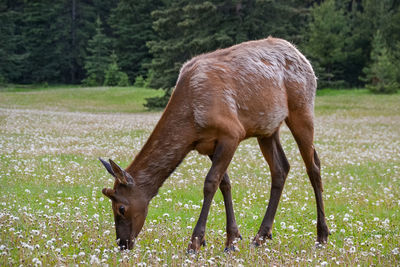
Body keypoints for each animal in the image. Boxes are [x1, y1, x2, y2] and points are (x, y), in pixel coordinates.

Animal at [101, 36, 330, 252]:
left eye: (121, 208)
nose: (123, 243)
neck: (192, 126)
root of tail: (302, 56)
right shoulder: (209, 144)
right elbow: (224, 183)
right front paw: (232, 239)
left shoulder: (232, 133)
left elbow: (210, 183)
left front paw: (195, 242)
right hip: (267, 128)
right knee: (281, 168)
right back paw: (261, 236)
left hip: (302, 108)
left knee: (313, 166)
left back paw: (322, 236)